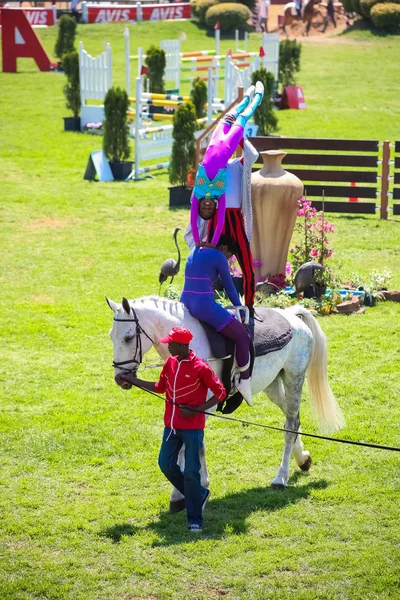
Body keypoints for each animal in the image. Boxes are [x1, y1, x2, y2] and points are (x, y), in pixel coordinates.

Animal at [106, 296, 344, 510]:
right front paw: (188, 490)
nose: (120, 378)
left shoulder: (198, 408)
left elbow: (192, 447)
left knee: (290, 425)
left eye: (128, 337)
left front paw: (191, 490)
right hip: (273, 385)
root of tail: (291, 314)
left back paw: (281, 477)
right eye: (111, 337)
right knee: (292, 419)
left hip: (294, 377)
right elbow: (189, 446)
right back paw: (302, 458)